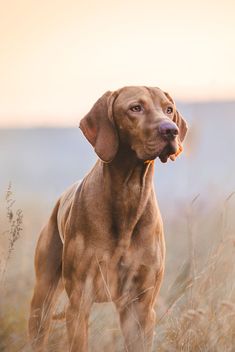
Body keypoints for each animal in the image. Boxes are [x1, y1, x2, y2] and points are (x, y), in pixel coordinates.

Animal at [28, 86, 188, 352]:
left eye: (168, 109)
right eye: (136, 108)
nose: (171, 130)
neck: (129, 194)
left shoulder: (141, 307)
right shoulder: (79, 301)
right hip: (42, 298)